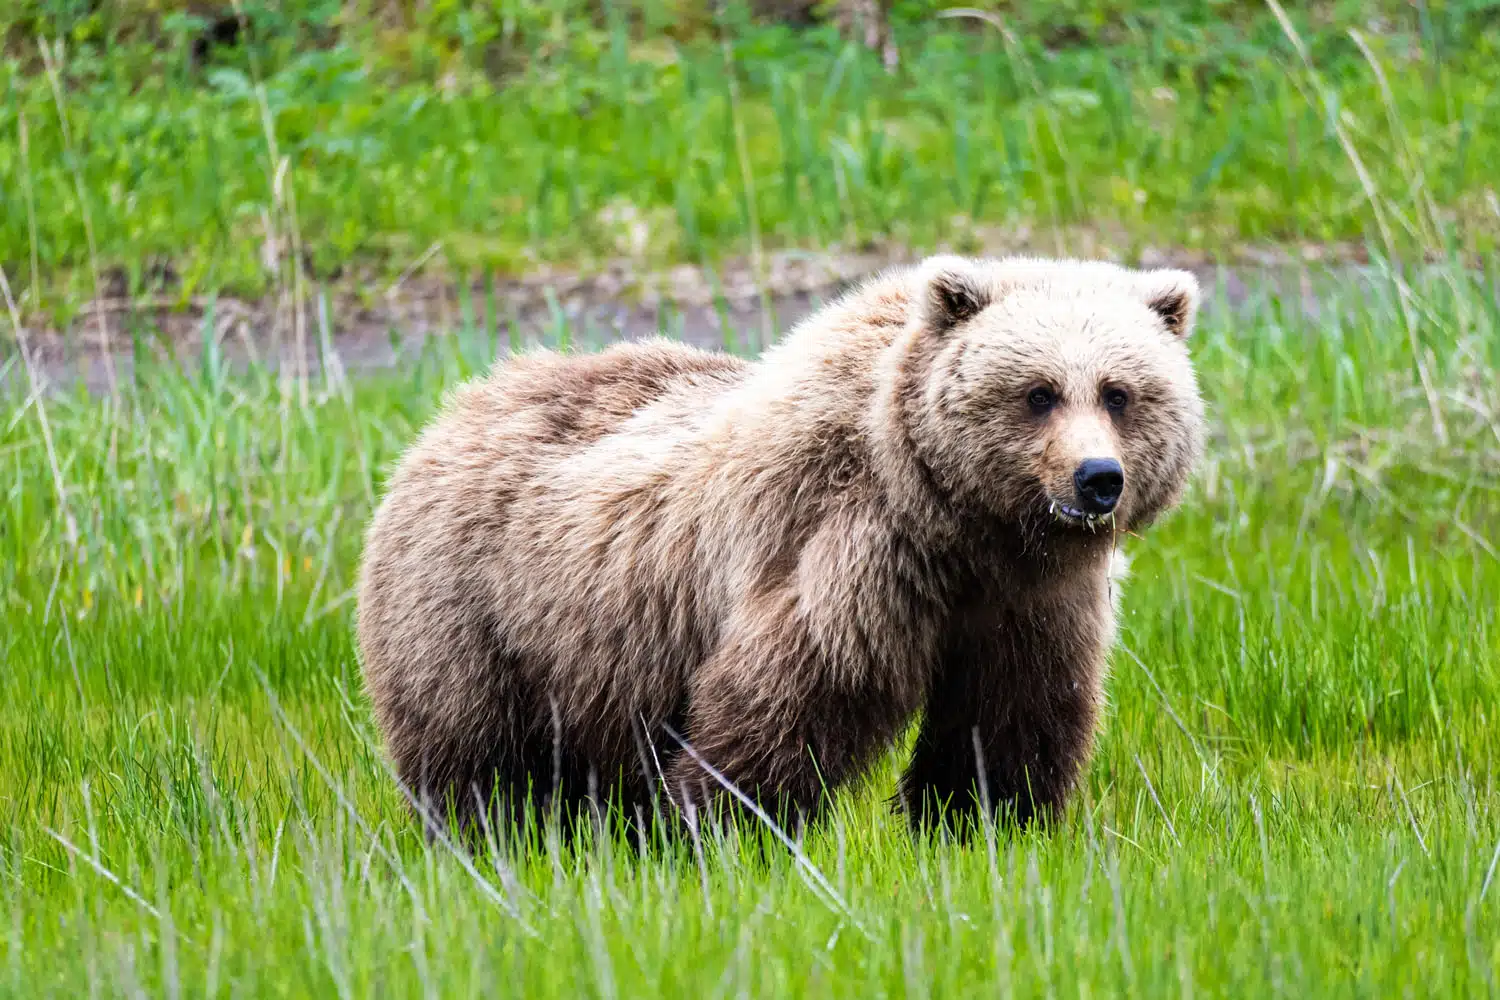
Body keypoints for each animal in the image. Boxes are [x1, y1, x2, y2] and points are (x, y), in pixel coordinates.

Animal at [355, 254, 1205, 840]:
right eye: (1038, 392)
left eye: (1120, 393)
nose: (1098, 479)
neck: (963, 528)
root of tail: (456, 407)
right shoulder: (850, 555)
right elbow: (789, 702)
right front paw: (717, 827)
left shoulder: (1029, 602)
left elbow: (1010, 718)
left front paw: (982, 825)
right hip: (481, 610)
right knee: (477, 755)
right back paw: (490, 839)